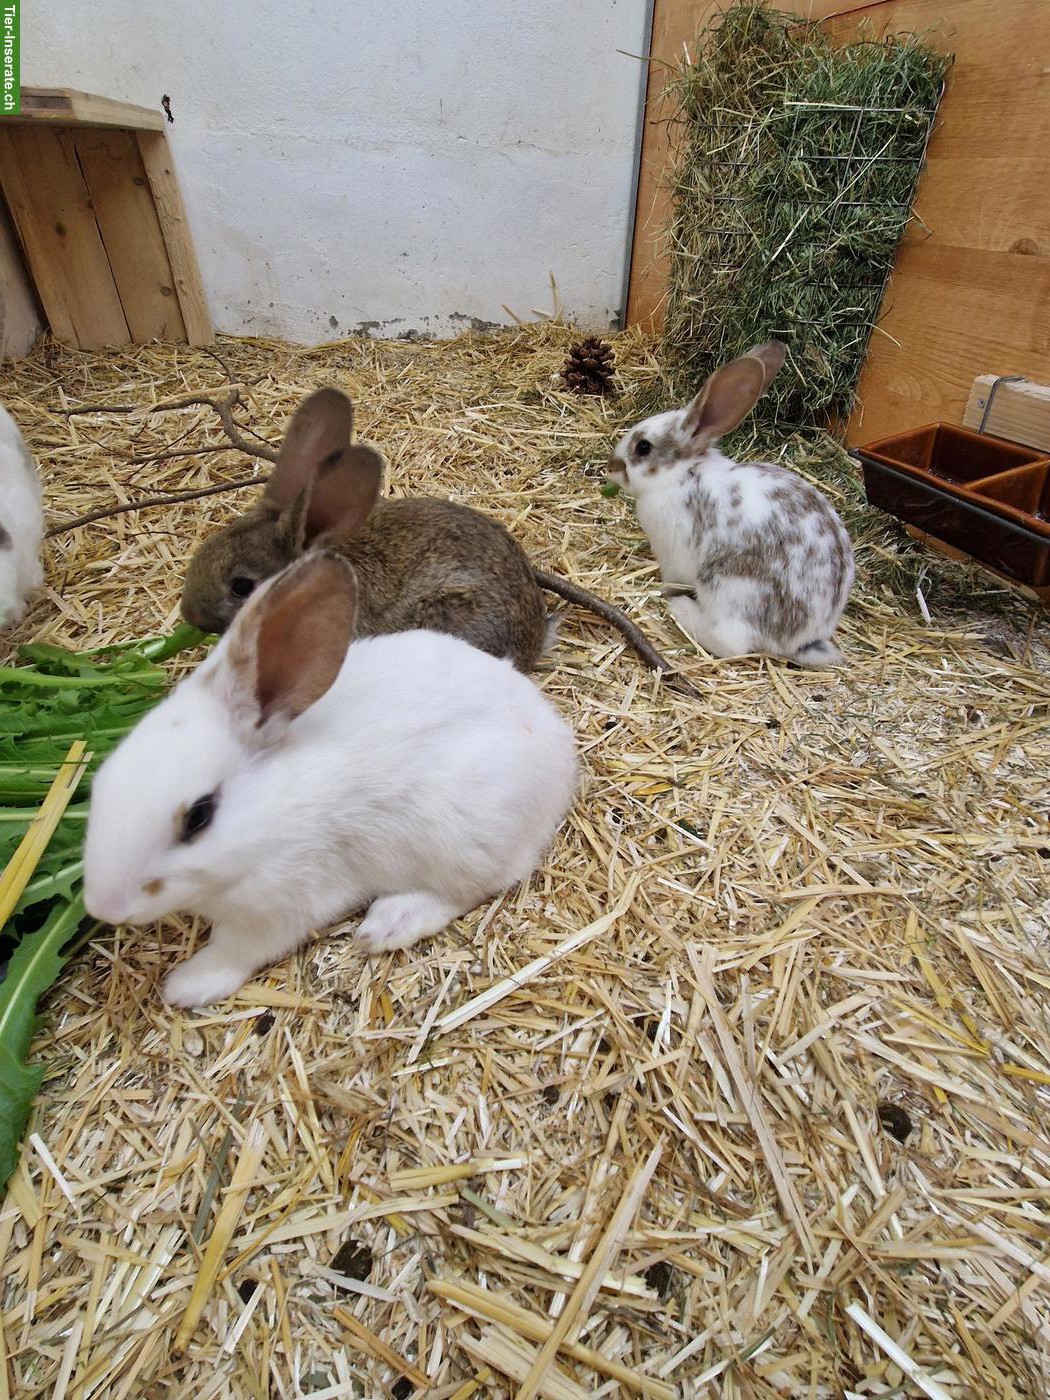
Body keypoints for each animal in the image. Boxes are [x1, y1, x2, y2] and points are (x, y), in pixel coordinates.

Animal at [83, 550, 579, 1008]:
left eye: (199, 816)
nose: (104, 906)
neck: (272, 812)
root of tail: (557, 743)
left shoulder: (282, 902)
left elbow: (236, 950)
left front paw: (185, 985)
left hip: (458, 837)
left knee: (476, 886)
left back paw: (387, 924)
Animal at [608, 341, 854, 667]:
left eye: (643, 447)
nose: (611, 465)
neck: (682, 475)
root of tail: (801, 639)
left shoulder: (673, 556)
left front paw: (665, 592)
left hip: (728, 588)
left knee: (729, 642)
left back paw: (682, 609)